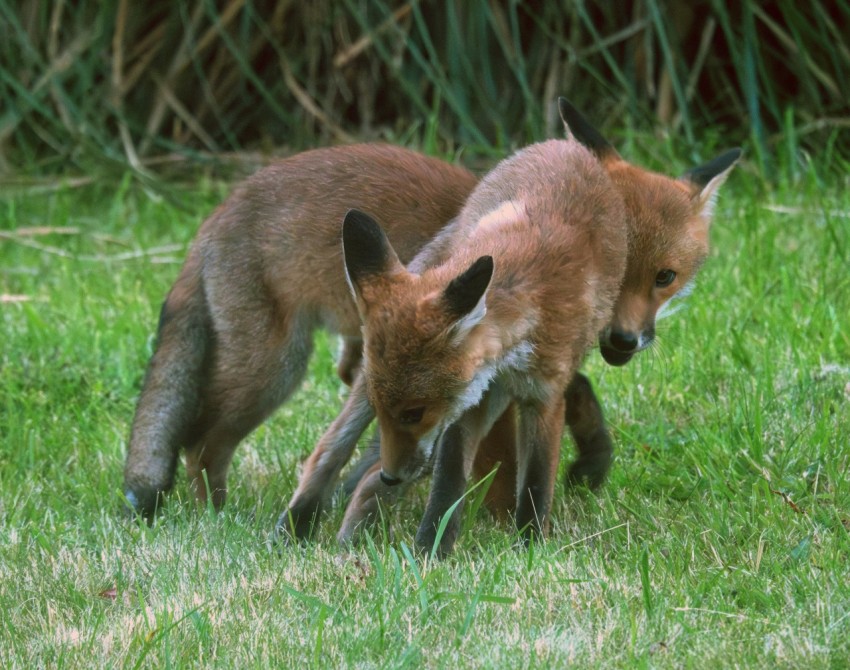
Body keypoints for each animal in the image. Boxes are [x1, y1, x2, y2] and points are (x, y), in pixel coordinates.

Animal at [284, 97, 736, 552]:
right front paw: (433, 550)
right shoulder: (472, 401)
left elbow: (535, 479)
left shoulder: (534, 392)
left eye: (665, 278)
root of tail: (559, 148)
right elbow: (451, 482)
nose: (624, 340)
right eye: (625, 274)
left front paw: (530, 546)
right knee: (334, 448)